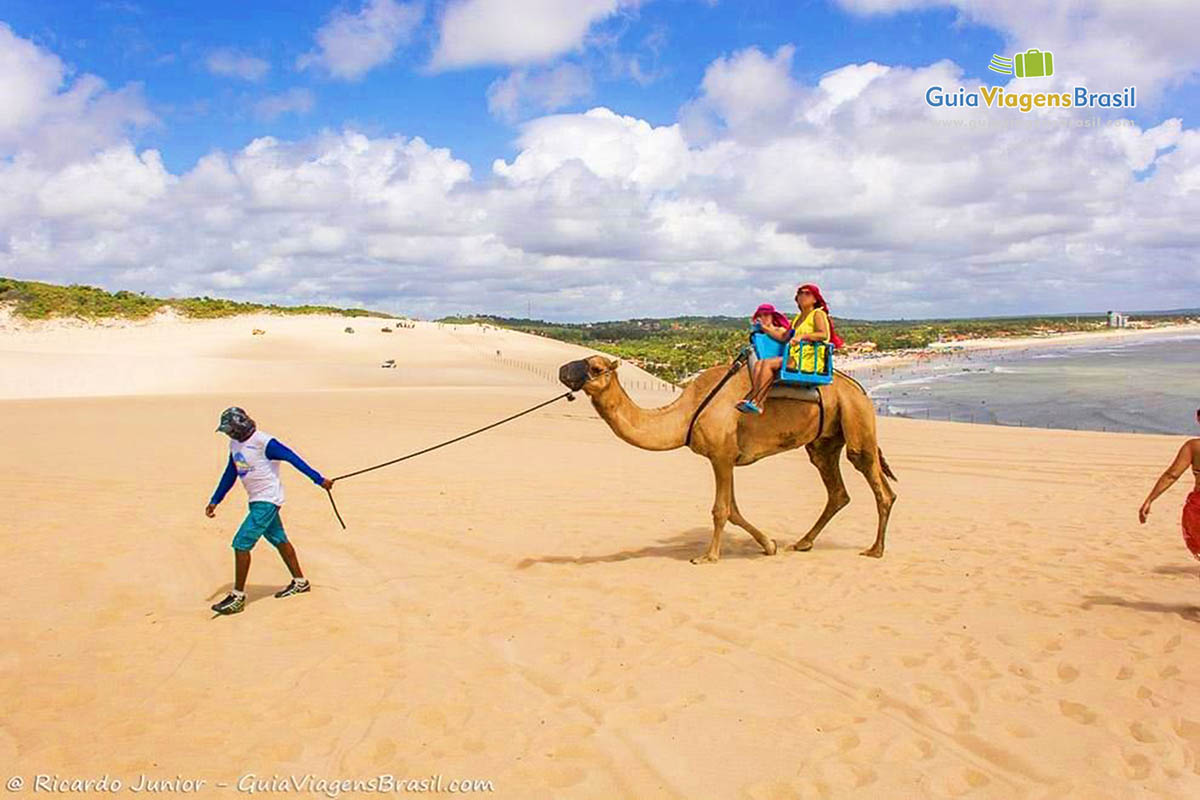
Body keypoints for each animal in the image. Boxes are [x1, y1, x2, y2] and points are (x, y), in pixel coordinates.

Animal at [556, 357, 897, 563]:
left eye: (595, 368)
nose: (562, 371)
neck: (687, 413)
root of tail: (859, 389)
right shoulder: (727, 458)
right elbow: (733, 509)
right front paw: (769, 544)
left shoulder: (721, 456)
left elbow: (721, 510)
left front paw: (708, 557)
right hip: (823, 441)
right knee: (837, 490)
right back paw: (802, 543)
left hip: (856, 419)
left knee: (878, 483)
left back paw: (875, 550)